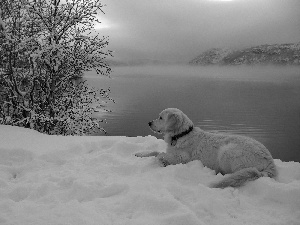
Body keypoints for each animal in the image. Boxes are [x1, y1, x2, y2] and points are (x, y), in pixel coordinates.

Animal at [136, 107, 276, 188]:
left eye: (161, 117)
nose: (149, 123)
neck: (182, 134)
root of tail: (269, 160)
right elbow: (155, 151)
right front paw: (140, 154)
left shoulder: (183, 158)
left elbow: (160, 155)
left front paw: (162, 162)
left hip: (227, 151)